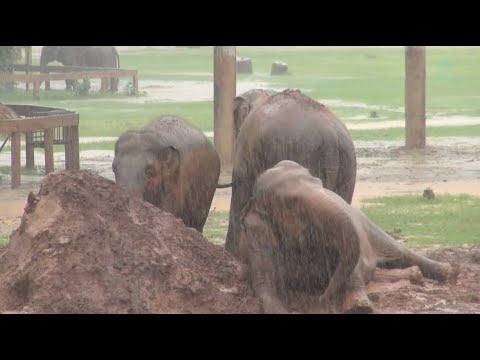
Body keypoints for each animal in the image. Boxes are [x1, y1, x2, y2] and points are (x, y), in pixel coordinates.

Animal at [240, 162, 458, 314]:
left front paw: (359, 306)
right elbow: (265, 287)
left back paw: (448, 272)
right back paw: (415, 275)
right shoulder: (256, 237)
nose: (320, 300)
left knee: (398, 252)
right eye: (293, 203)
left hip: (367, 224)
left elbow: (349, 266)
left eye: (320, 184)